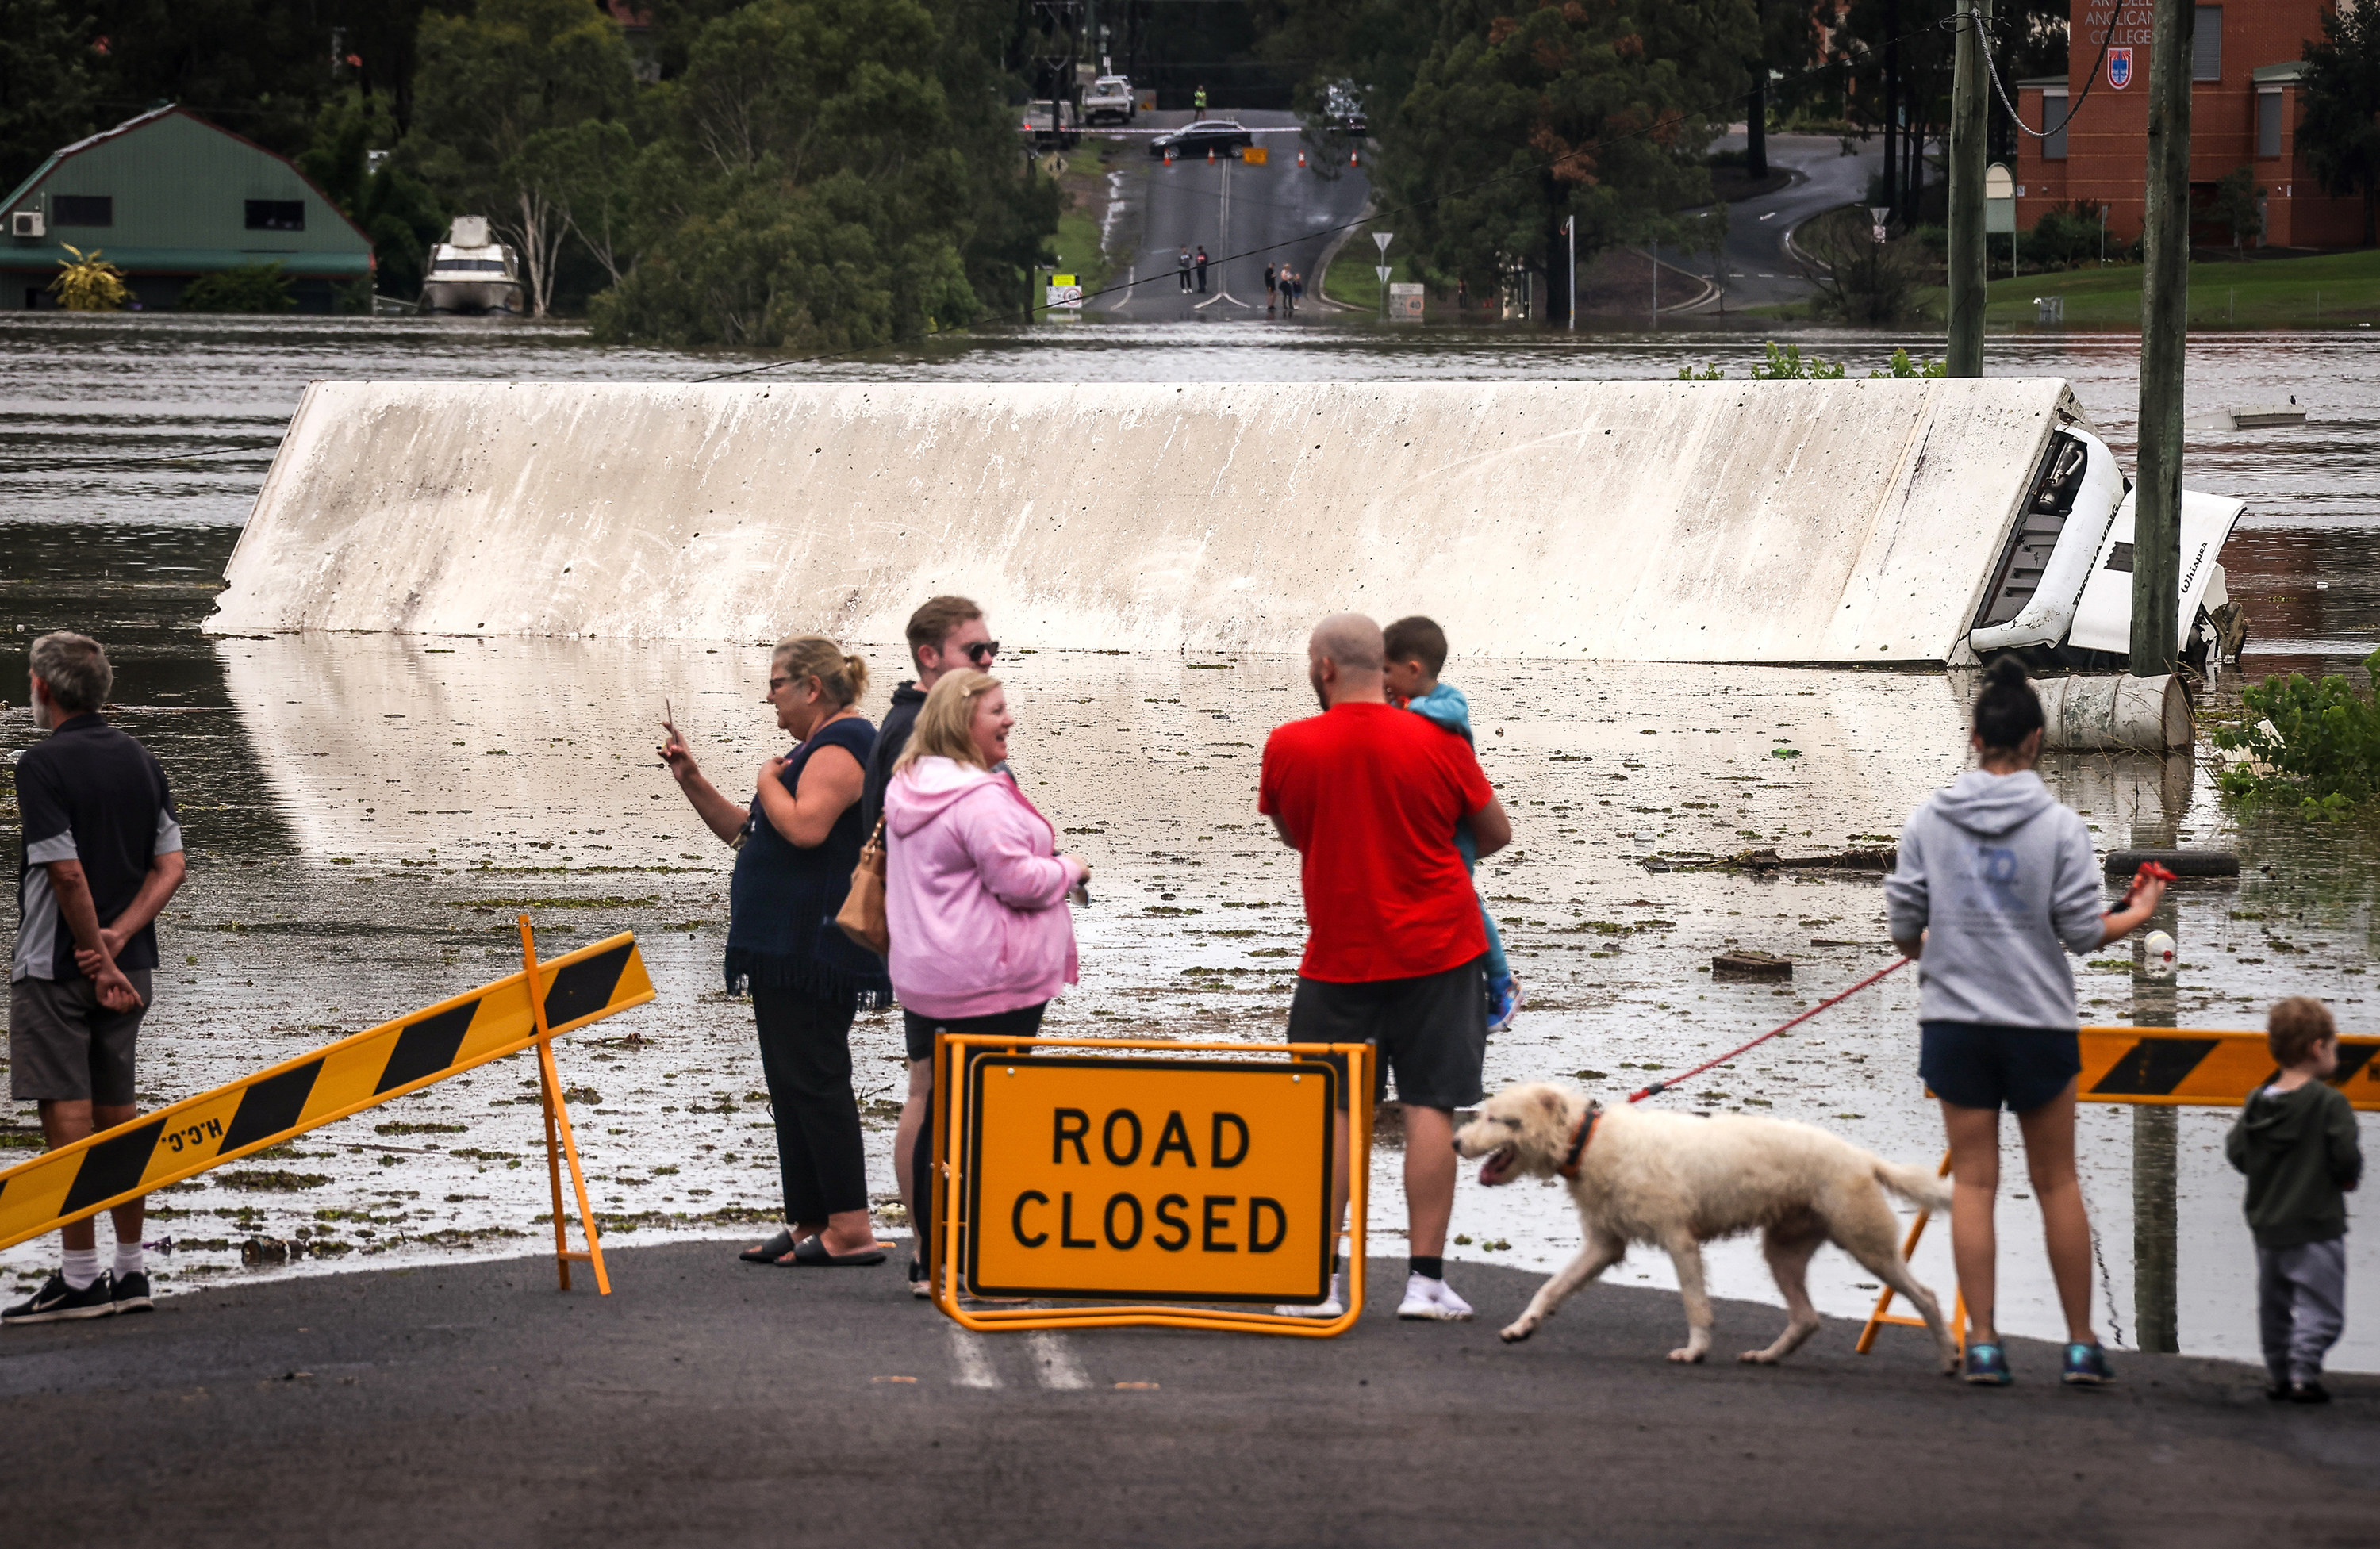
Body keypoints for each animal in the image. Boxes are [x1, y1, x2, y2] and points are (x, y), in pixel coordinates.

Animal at [1447, 1080, 1952, 1371]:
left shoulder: (1680, 1241)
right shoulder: (1603, 1245)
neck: (1587, 1140)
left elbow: (1695, 1304)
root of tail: (1862, 1158)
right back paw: (1768, 1356)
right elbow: (1550, 1288)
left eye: (1499, 1119)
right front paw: (1522, 1326)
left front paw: (1694, 1351)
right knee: (1807, 1317)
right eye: (1483, 1114)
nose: (1455, 1142)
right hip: (1784, 1251)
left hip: (1868, 1245)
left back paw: (1950, 1357)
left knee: (1925, 1296)